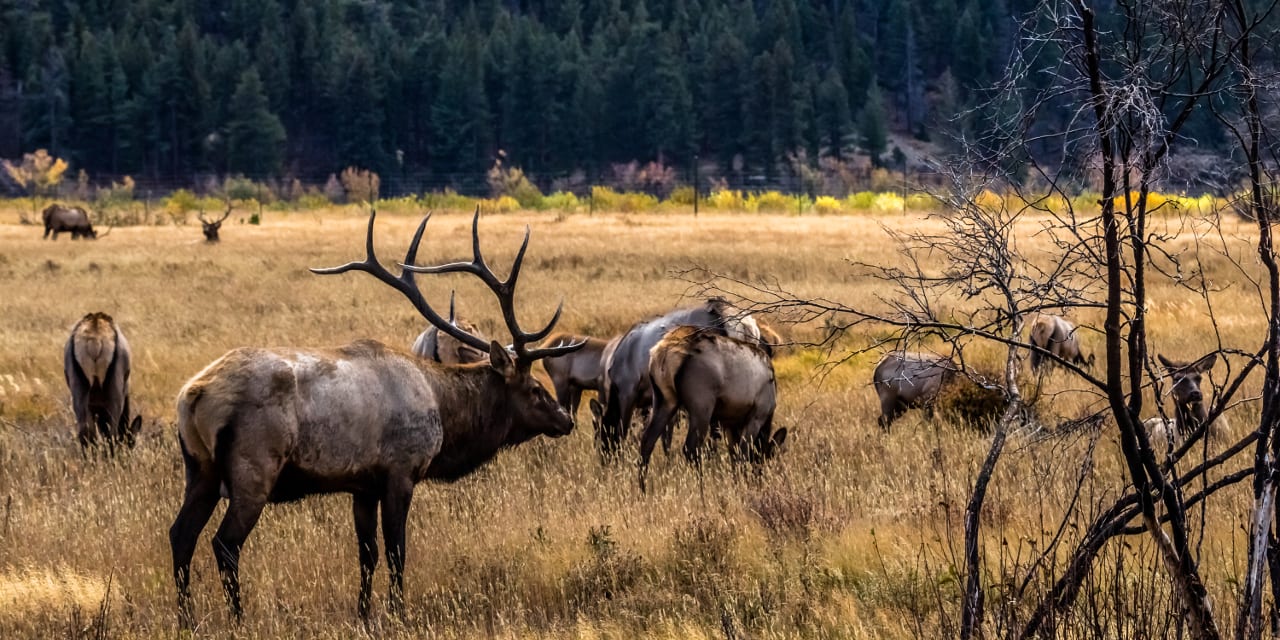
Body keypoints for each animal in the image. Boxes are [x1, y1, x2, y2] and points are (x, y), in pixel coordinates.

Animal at [64, 312, 143, 453]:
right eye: (131, 443)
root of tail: (95, 340)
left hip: (79, 391)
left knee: (86, 433)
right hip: (114, 393)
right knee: (111, 433)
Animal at [168, 208, 583, 629]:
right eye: (534, 388)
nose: (566, 420)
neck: (443, 411)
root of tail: (193, 395)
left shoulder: (362, 486)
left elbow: (366, 554)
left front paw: (364, 613)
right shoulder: (400, 472)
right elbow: (397, 551)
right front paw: (400, 613)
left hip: (200, 470)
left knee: (180, 535)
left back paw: (187, 619)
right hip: (254, 469)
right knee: (225, 543)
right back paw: (238, 619)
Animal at [637, 326, 786, 492]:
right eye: (768, 457)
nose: (760, 479)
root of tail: (666, 351)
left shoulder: (729, 423)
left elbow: (733, 457)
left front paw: (737, 484)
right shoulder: (757, 416)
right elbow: (743, 454)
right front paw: (745, 486)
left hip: (663, 400)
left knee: (647, 442)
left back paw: (643, 491)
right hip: (702, 404)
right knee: (691, 448)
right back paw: (702, 490)